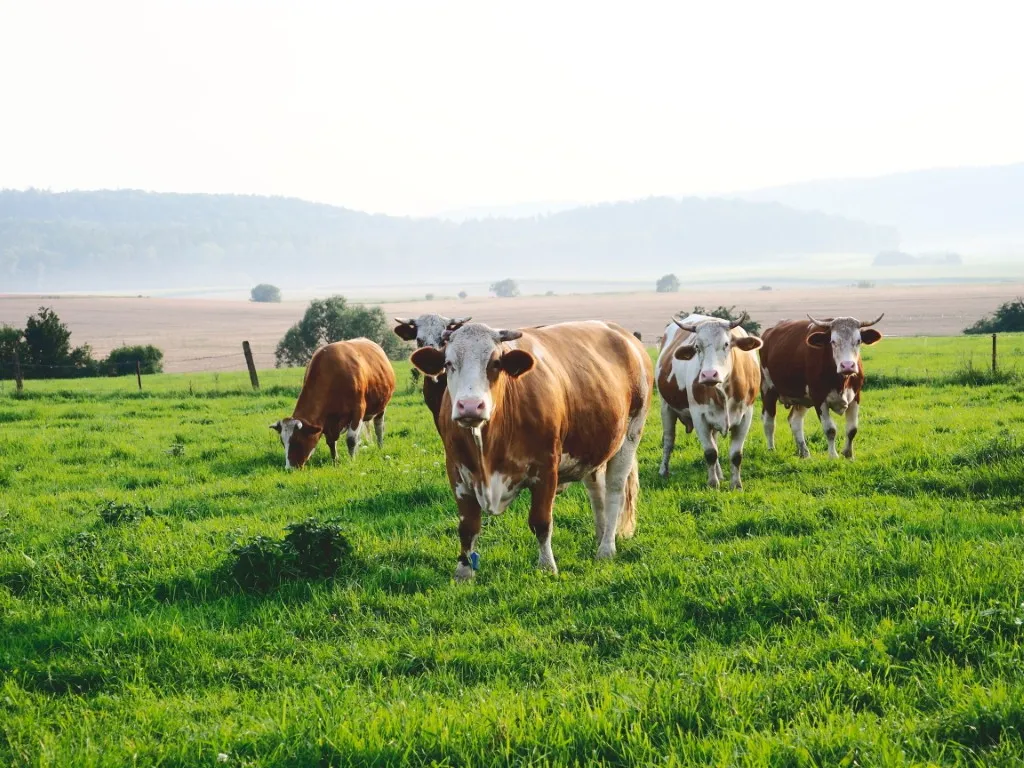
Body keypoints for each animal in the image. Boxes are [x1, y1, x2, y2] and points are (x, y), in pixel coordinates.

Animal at [270, 338, 396, 469]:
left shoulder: (358, 411)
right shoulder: (327, 421)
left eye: (298, 441)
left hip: (381, 407)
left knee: (378, 427)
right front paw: (335, 461)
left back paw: (380, 447)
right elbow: (331, 442)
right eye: (282, 442)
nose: (289, 468)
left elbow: (351, 440)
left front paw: (352, 461)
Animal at [409, 321, 653, 581]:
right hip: (593, 445)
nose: (471, 406)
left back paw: (606, 548)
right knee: (596, 491)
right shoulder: (457, 471)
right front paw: (463, 572)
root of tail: (624, 335)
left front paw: (547, 566)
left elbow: (541, 521)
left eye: (495, 363)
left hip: (631, 435)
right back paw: (600, 535)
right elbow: (467, 527)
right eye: (448, 363)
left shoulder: (546, 468)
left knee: (615, 491)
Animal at [655, 313, 762, 489]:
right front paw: (713, 484)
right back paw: (664, 471)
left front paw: (736, 485)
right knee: (669, 440)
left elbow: (736, 455)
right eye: (697, 347)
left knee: (715, 440)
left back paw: (720, 473)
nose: (709, 375)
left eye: (726, 344)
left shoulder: (746, 415)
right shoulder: (699, 416)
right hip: (666, 407)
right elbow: (710, 452)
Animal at [760, 314, 884, 459]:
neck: (841, 381)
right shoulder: (819, 398)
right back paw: (771, 450)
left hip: (802, 398)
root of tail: (769, 332)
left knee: (795, 421)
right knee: (769, 421)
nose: (847, 365)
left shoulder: (855, 397)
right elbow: (830, 429)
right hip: (767, 388)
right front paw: (833, 456)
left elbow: (852, 429)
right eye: (833, 341)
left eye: (858, 341)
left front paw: (848, 455)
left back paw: (805, 454)